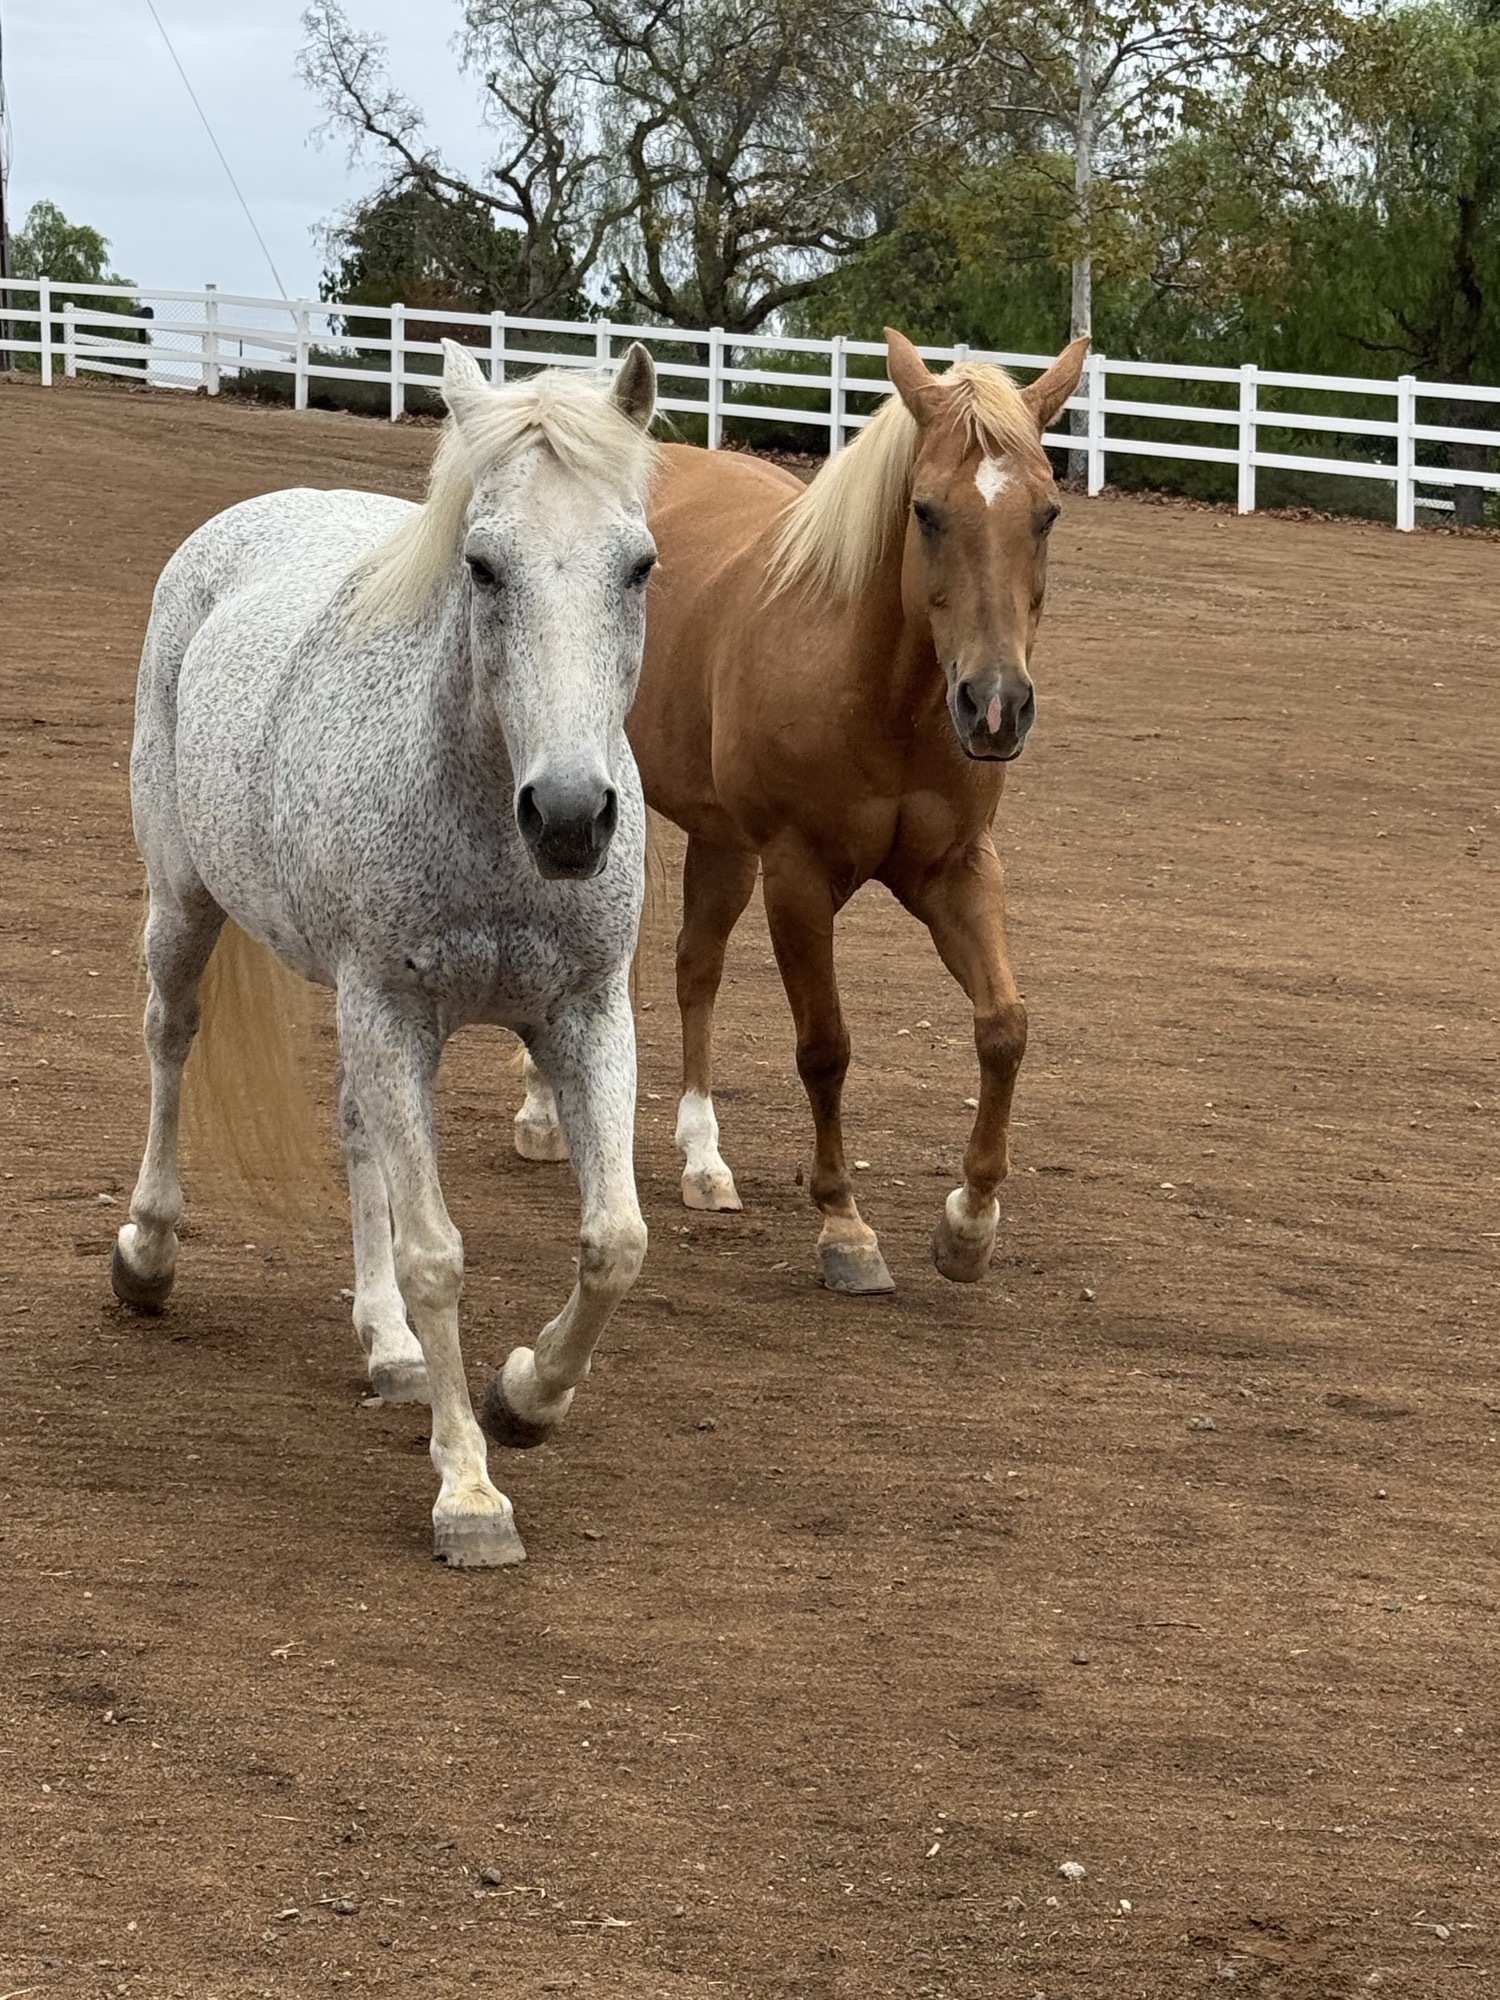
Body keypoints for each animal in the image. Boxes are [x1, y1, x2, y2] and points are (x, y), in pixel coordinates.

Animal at [111, 338, 660, 1565]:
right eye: (483, 567)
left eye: (641, 566)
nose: (569, 815)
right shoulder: (393, 1011)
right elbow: (438, 1252)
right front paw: (469, 1489)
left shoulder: (585, 1013)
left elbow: (614, 1240)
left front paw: (527, 1393)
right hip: (187, 906)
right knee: (170, 1041)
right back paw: (148, 1253)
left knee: (360, 1129)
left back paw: (390, 1345)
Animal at [514, 328, 1087, 1294]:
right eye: (926, 512)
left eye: (1046, 513)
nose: (995, 706)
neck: (879, 693)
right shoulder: (797, 878)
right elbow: (825, 1048)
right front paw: (844, 1228)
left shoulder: (958, 870)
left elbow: (1003, 1029)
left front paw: (970, 1222)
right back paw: (543, 1114)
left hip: (719, 842)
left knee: (696, 968)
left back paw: (703, 1159)